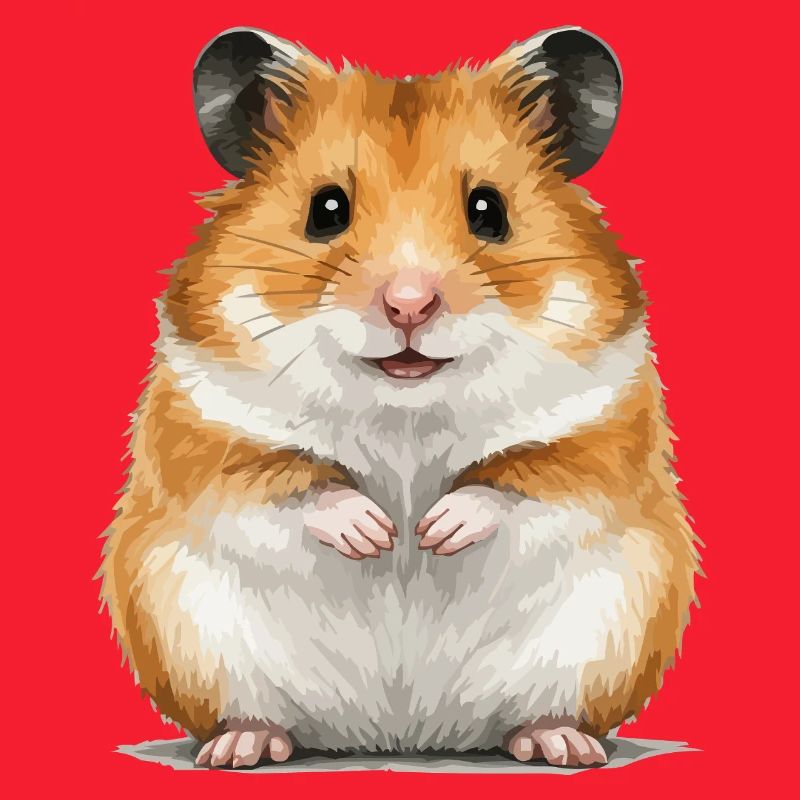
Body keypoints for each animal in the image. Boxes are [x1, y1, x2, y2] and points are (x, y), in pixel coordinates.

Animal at [99, 25, 700, 769]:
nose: (409, 305)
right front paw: (378, 534)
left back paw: (561, 745)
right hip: (190, 635)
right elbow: (286, 481)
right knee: (257, 715)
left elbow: (522, 480)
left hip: (609, 632)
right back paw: (239, 748)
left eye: (489, 210)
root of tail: (402, 734)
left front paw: (432, 532)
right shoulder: (206, 428)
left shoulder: (600, 433)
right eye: (325, 209)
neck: (405, 408)